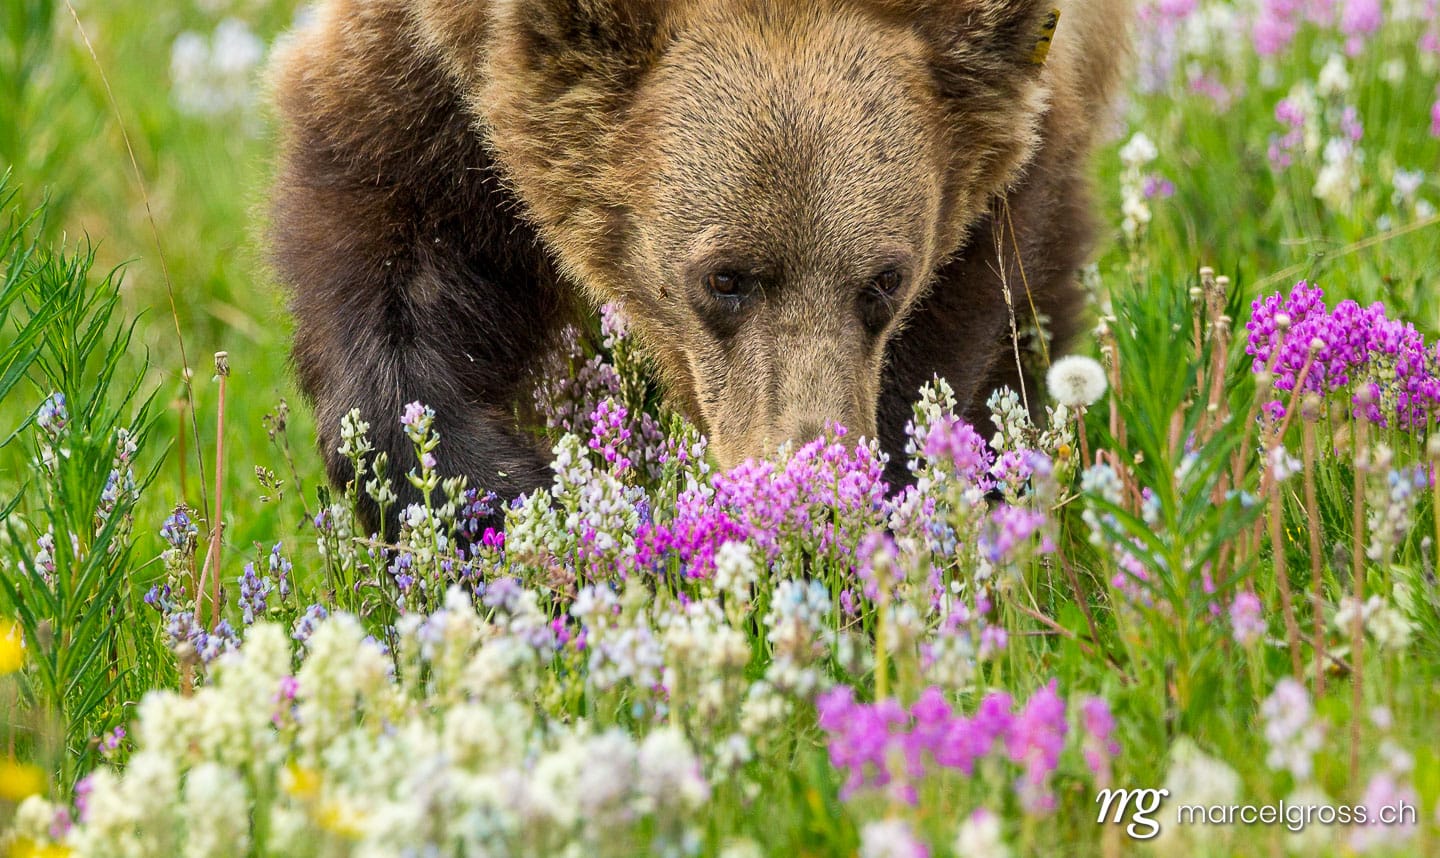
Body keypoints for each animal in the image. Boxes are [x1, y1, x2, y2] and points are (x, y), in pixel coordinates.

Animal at [268, 0, 1131, 534]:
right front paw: (512, 496)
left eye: (886, 278)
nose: (805, 482)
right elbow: (392, 262)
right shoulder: (431, 81)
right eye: (725, 276)